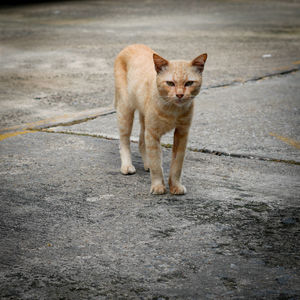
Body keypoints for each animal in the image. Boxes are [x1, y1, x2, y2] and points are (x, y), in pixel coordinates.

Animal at [113, 44, 207, 195]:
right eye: (170, 83)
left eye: (189, 83)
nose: (179, 95)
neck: (173, 109)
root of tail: (132, 45)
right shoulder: (153, 133)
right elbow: (156, 163)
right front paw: (158, 186)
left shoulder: (182, 133)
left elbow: (177, 165)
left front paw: (175, 186)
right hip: (125, 111)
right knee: (124, 141)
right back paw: (127, 166)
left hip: (144, 119)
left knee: (141, 142)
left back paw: (146, 164)